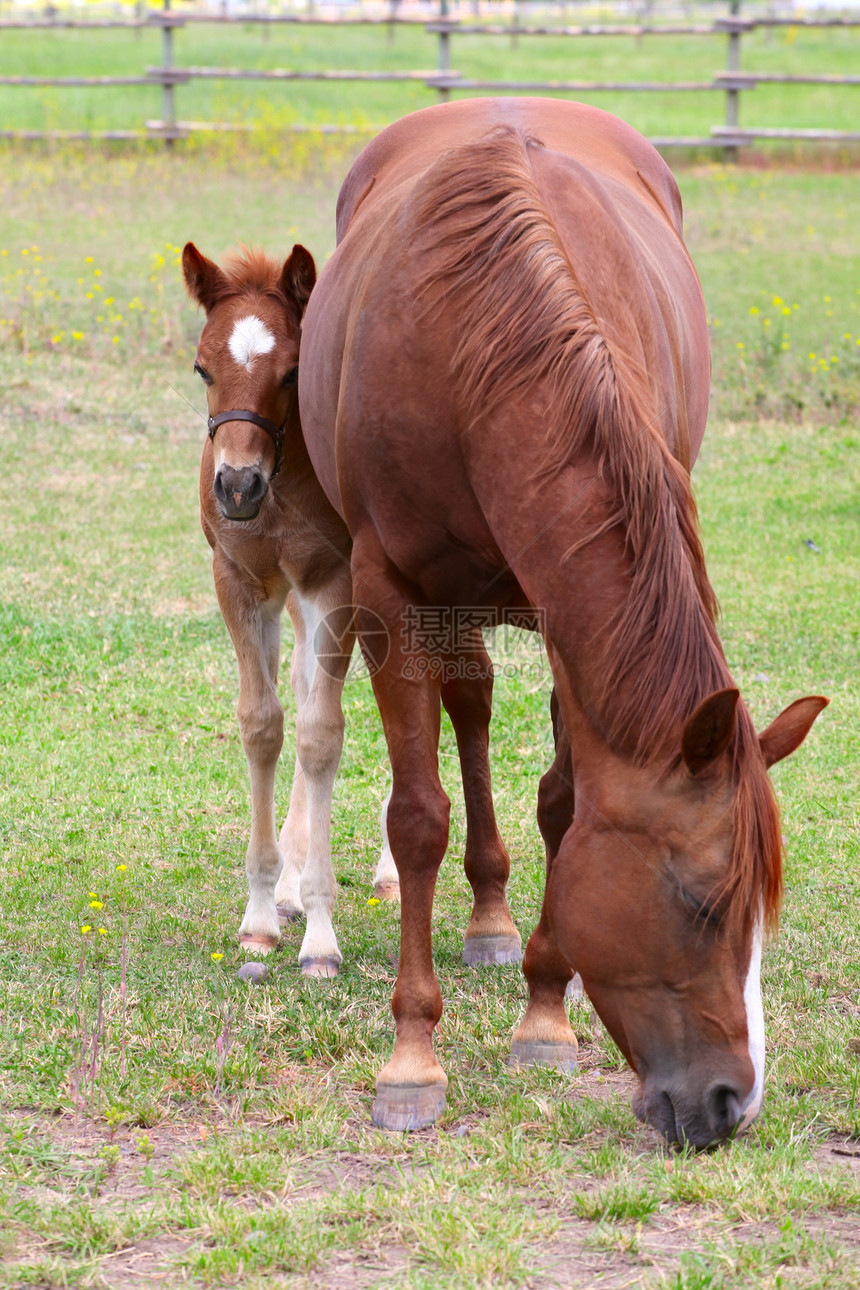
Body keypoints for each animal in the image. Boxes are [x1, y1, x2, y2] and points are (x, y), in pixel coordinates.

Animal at [181, 237, 518, 970]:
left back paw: (389, 872)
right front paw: (263, 912)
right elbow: (265, 722)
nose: (238, 487)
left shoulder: (333, 583)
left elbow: (321, 732)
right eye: (201, 368)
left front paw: (320, 936)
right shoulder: (239, 581)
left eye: (292, 373)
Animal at [297, 103, 825, 1150]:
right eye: (702, 902)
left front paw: (544, 1013)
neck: (479, 339)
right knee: (466, 709)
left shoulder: (566, 614)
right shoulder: (389, 591)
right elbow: (417, 817)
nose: (731, 1103)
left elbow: (566, 802)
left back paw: (500, 929)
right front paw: (412, 1056)